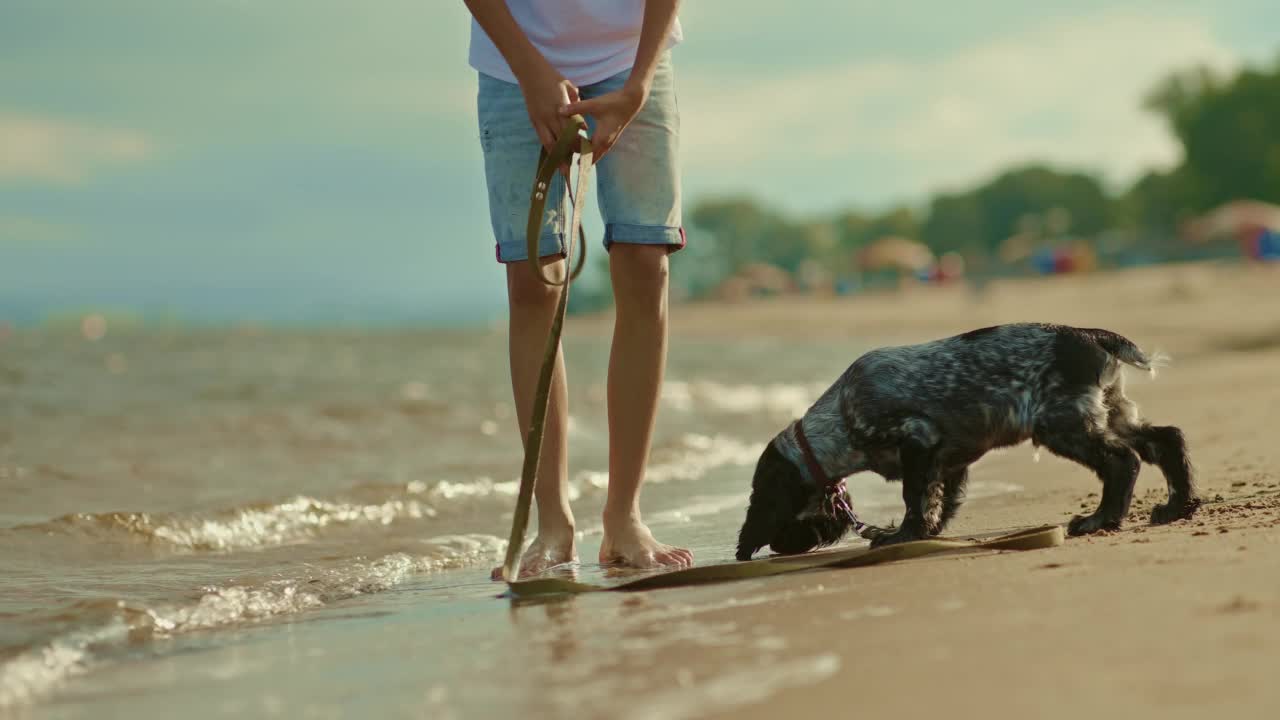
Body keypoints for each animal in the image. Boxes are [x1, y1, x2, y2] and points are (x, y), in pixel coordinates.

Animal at [737, 320, 1203, 561]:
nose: (773, 547)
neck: (841, 414)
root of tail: (1092, 336)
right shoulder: (950, 462)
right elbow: (938, 505)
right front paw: (923, 534)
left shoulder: (916, 439)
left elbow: (915, 498)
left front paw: (900, 536)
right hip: (1111, 411)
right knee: (1166, 440)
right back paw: (1177, 507)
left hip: (1062, 424)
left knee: (1122, 461)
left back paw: (1100, 519)